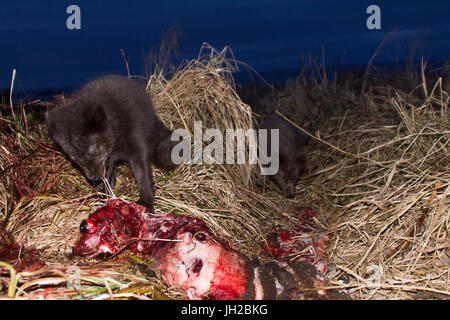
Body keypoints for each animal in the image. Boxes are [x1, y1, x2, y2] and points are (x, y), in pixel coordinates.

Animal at [45, 74, 178, 211]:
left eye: (96, 151)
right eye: (75, 159)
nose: (95, 178)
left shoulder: (137, 146)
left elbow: (142, 174)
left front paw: (146, 202)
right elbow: (108, 172)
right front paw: (104, 192)